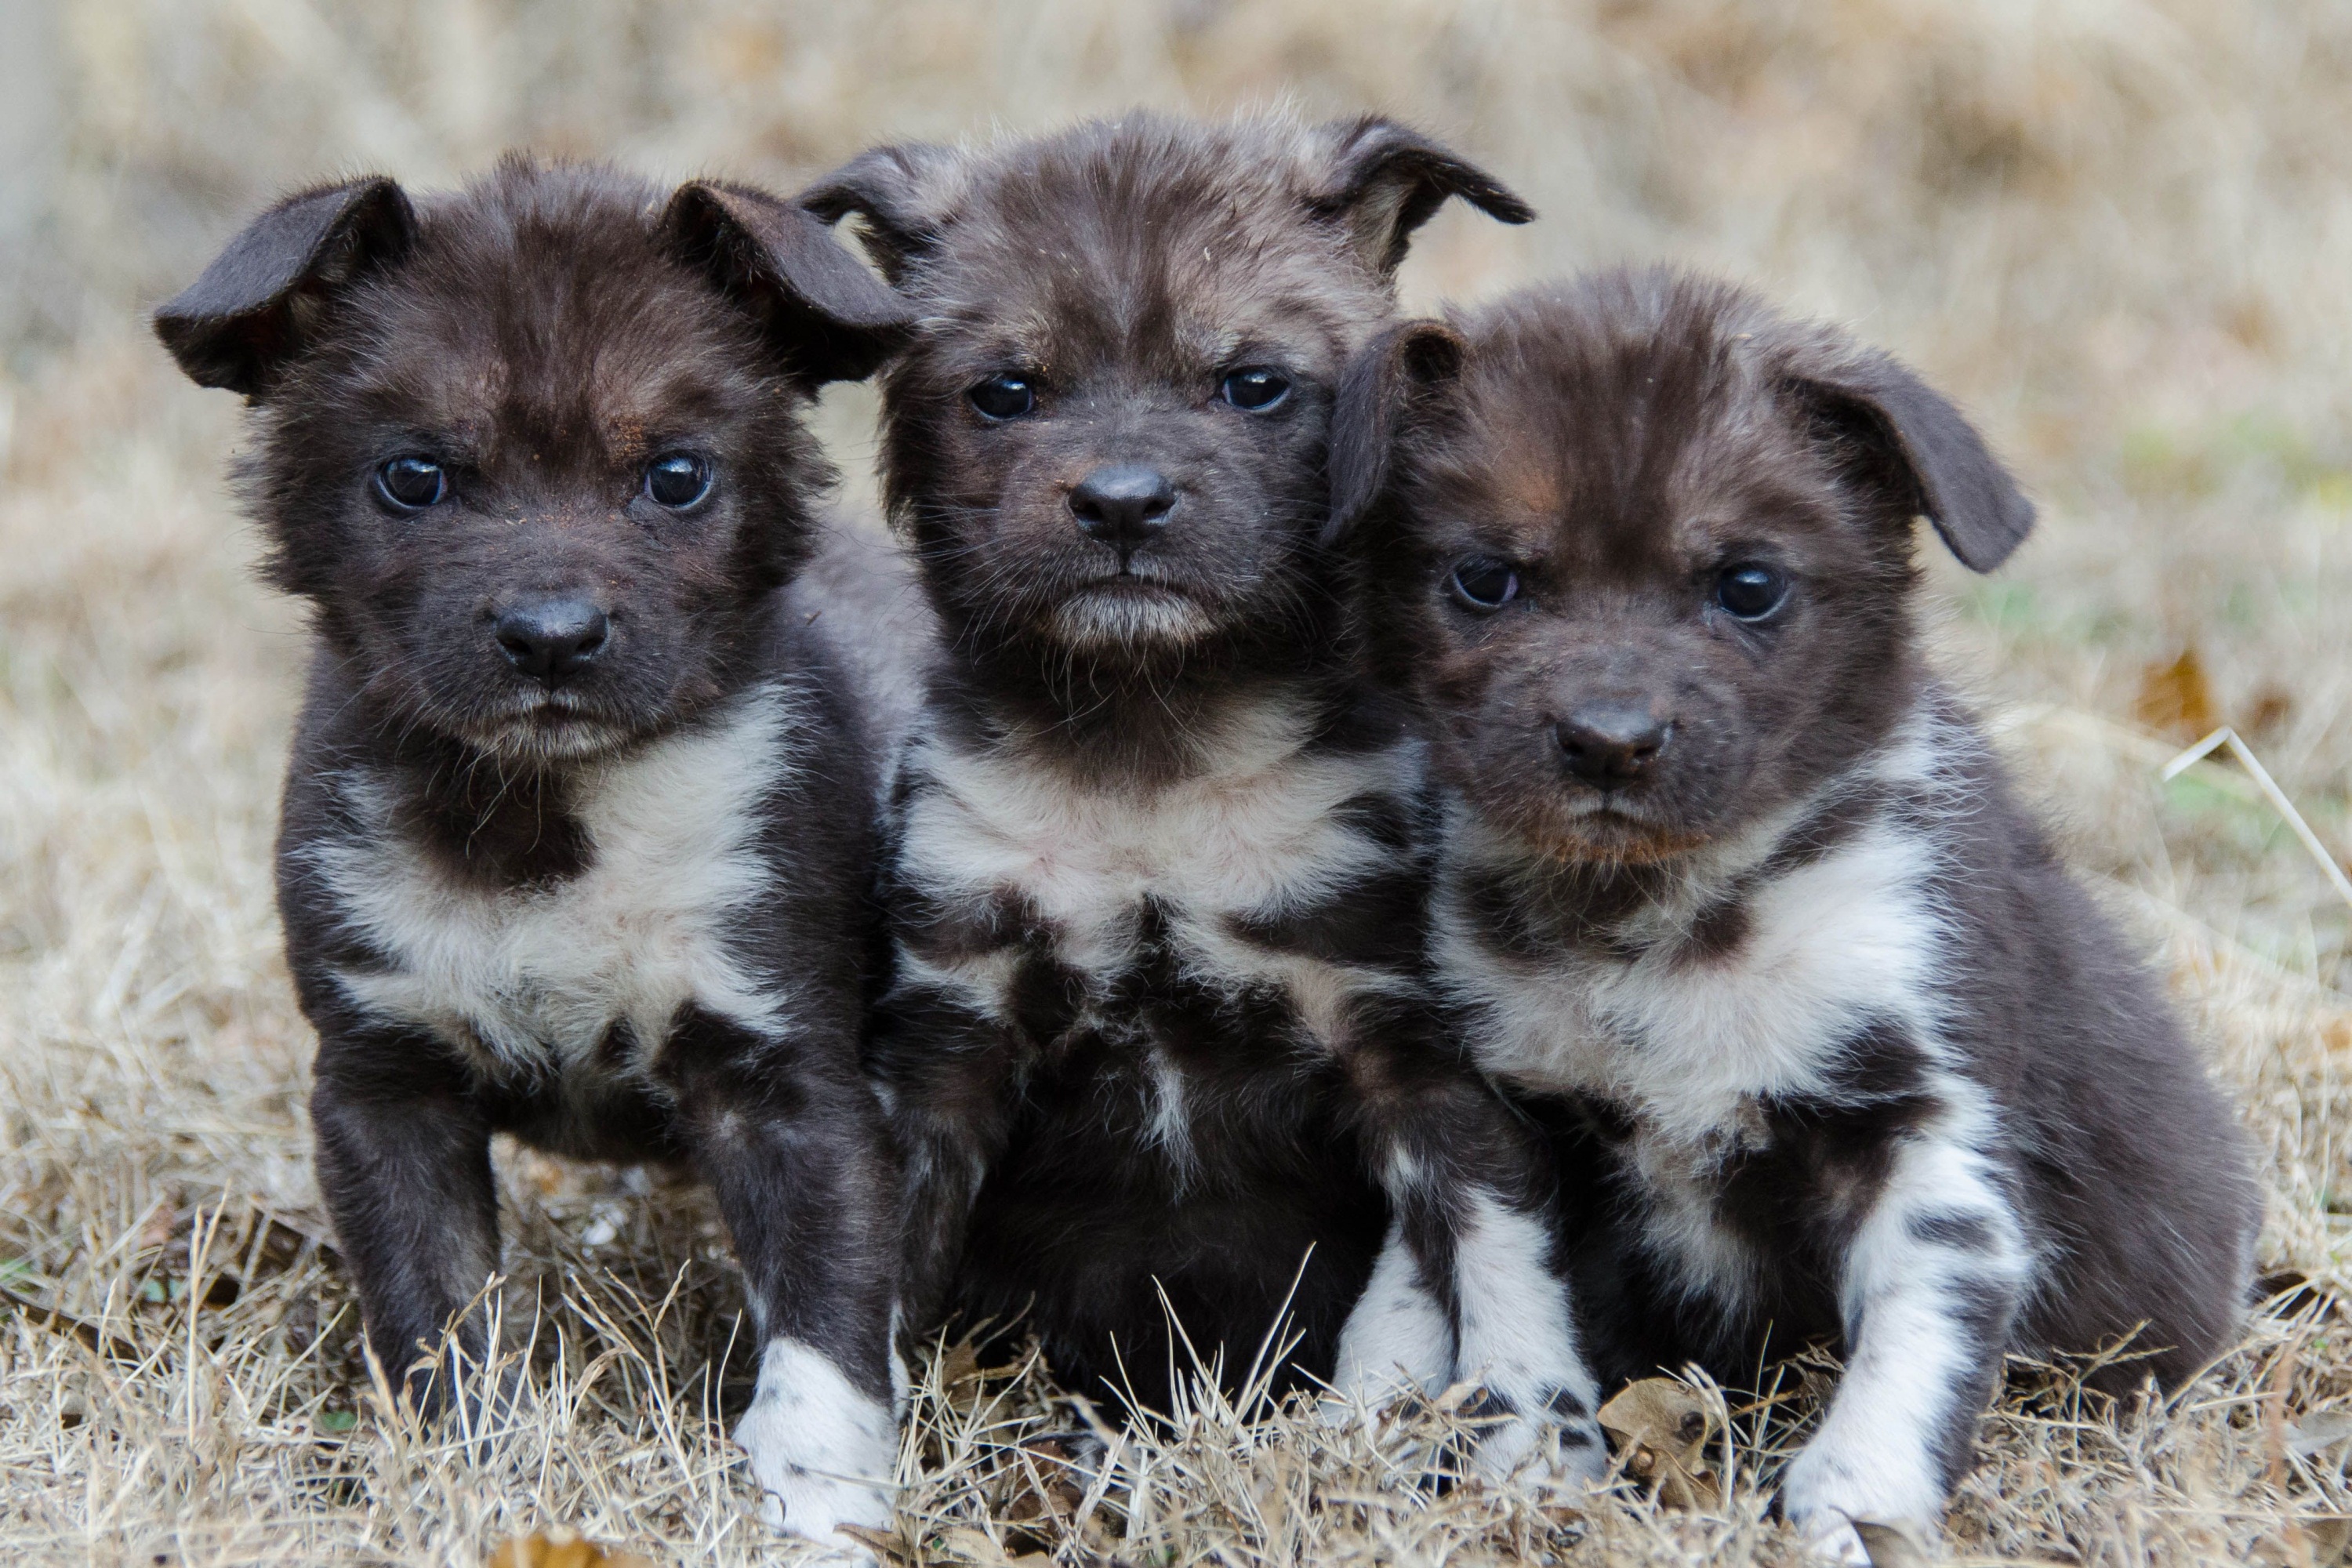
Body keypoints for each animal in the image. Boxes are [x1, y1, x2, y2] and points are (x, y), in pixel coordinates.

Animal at [151, 159, 913, 1561]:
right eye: (413, 477)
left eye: (677, 476)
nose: (552, 637)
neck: (547, 817)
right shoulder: (383, 1084)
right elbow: (440, 1330)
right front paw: (472, 1493)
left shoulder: (791, 1080)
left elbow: (825, 1348)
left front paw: (816, 1517)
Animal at [804, 113, 1599, 1486]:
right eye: (1007, 391)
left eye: (1253, 384)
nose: (1121, 504)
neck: (1153, 762)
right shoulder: (947, 1046)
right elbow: (884, 1270)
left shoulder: (1410, 1043)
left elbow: (1497, 1242)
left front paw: (1535, 1435)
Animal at [1327, 270, 2258, 1561]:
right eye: (1485, 578)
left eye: (1750, 586)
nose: (1609, 741)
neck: (1654, 925)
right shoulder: (1481, 1105)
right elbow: (1508, 1308)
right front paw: (1533, 1466)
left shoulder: (1925, 1124)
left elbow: (1916, 1342)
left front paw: (1856, 1506)